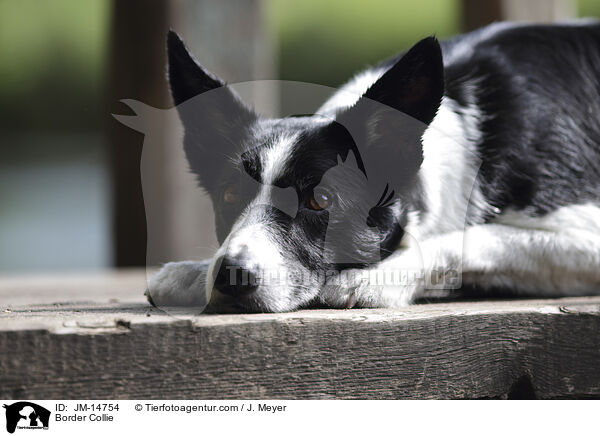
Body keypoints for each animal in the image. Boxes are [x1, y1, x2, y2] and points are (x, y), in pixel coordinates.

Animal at [148, 21, 600, 314]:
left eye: (320, 199)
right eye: (229, 195)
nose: (231, 275)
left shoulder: (587, 237)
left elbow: (473, 237)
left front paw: (376, 278)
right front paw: (195, 272)